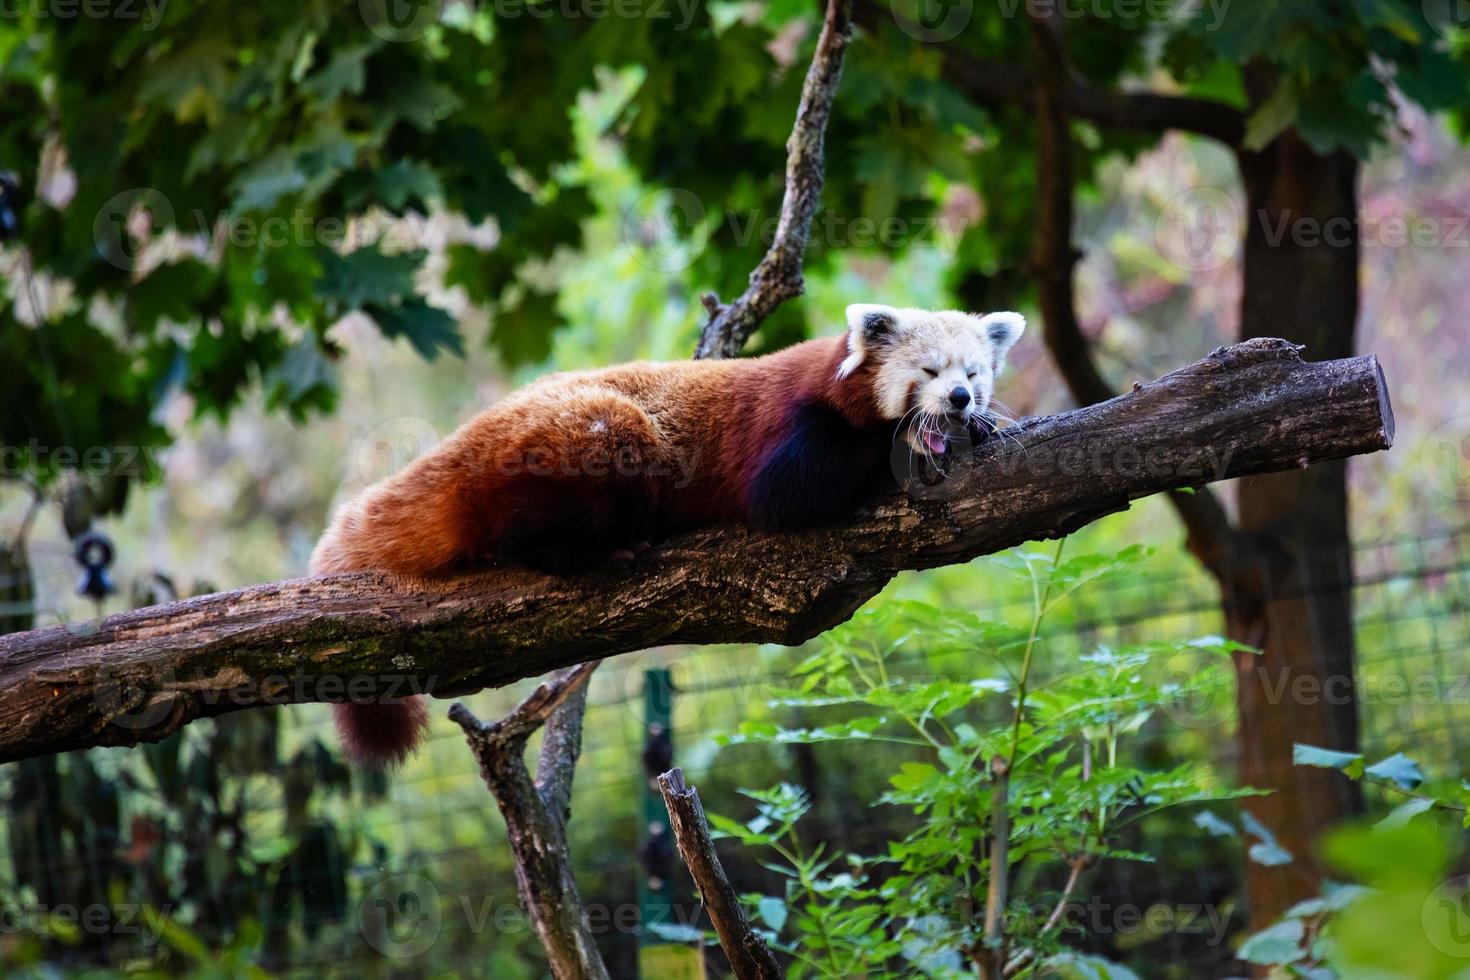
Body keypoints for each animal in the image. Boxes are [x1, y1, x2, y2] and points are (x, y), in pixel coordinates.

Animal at [310, 301, 1023, 764]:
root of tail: (462, 442)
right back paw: (598, 551)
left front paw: (986, 430)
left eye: (974, 374)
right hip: (587, 437)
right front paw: (900, 448)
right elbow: (790, 493)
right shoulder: (784, 428)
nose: (961, 401)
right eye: (929, 372)